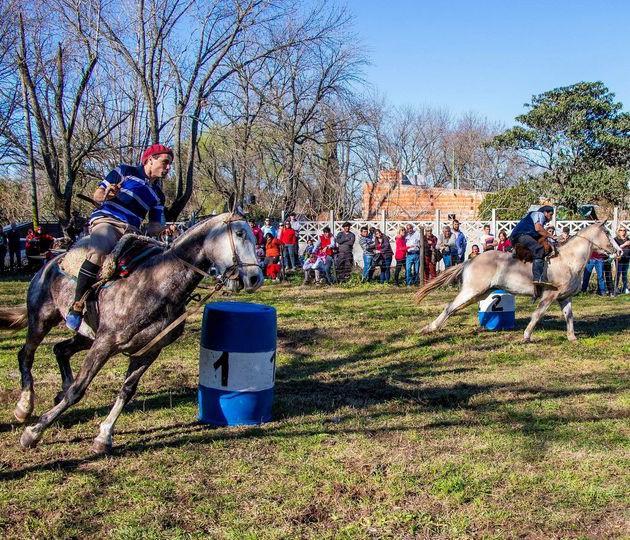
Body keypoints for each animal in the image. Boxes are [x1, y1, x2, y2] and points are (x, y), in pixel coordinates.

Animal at [0, 213, 262, 454]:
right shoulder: (104, 343)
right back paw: (24, 406)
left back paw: (56, 390)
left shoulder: (148, 351)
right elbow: (78, 390)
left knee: (60, 349)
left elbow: (127, 391)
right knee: (26, 355)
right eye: (240, 233)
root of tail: (50, 263)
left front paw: (104, 436)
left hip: (85, 336)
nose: (255, 278)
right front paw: (34, 432)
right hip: (42, 319)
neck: (157, 285)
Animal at [420, 223, 624, 342]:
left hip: (480, 293)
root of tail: (470, 260)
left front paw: (572, 337)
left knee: (454, 309)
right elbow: (537, 314)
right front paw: (526, 336)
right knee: (450, 307)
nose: (620, 251)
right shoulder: (549, 295)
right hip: (471, 291)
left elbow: (569, 316)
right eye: (607, 232)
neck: (568, 260)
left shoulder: (564, 297)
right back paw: (429, 328)